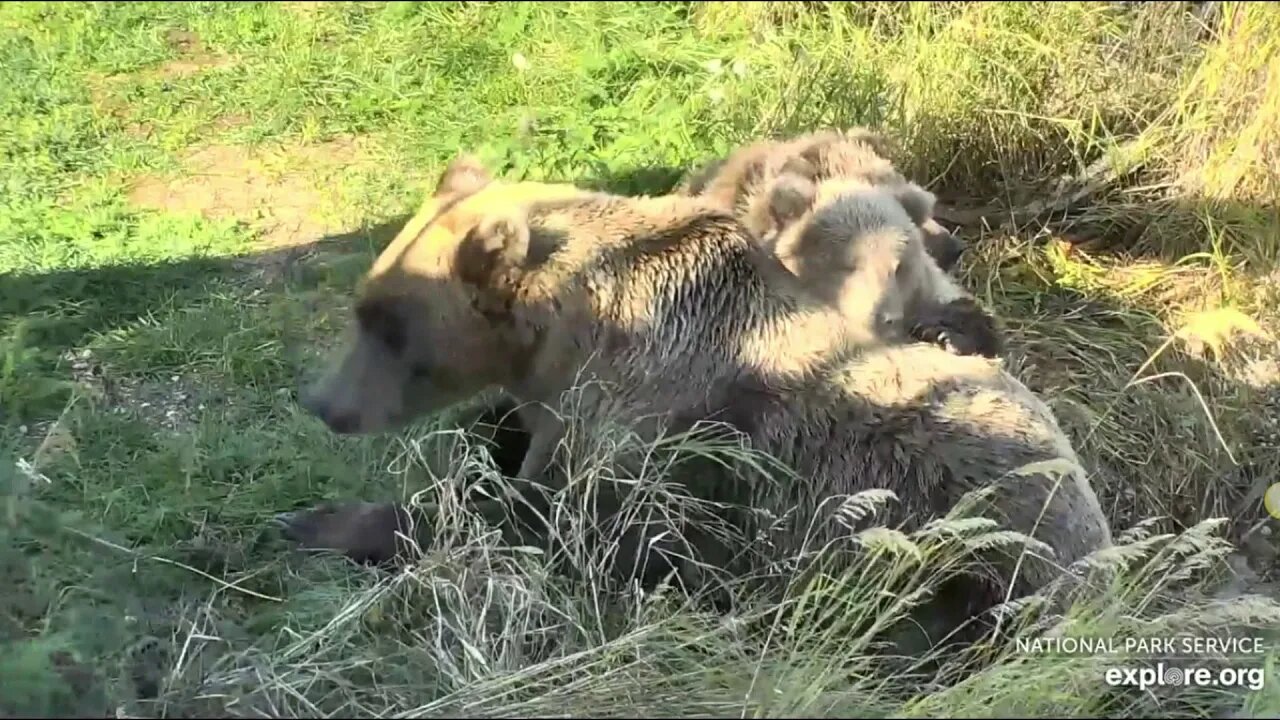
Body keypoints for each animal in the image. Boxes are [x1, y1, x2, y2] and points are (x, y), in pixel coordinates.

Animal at [290, 158, 1111, 627]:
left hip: (969, 540)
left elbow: (544, 517)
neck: (562, 334)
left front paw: (327, 521)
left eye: (385, 322)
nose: (325, 404)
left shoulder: (643, 424)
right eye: (367, 304)